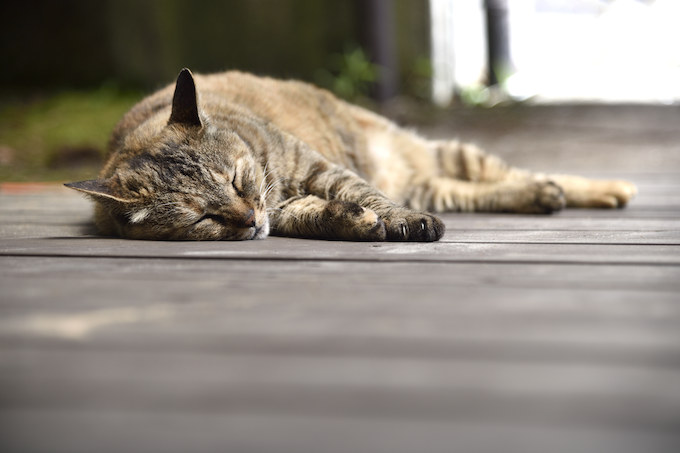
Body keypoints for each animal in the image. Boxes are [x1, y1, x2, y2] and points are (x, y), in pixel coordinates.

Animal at [65, 67, 636, 242]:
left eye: (236, 181)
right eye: (203, 218)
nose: (249, 219)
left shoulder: (320, 168)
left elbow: (367, 195)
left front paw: (401, 222)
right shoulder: (285, 207)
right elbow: (319, 215)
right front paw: (353, 222)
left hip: (449, 155)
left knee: (510, 171)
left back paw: (605, 188)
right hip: (436, 181)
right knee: (482, 190)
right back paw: (542, 195)